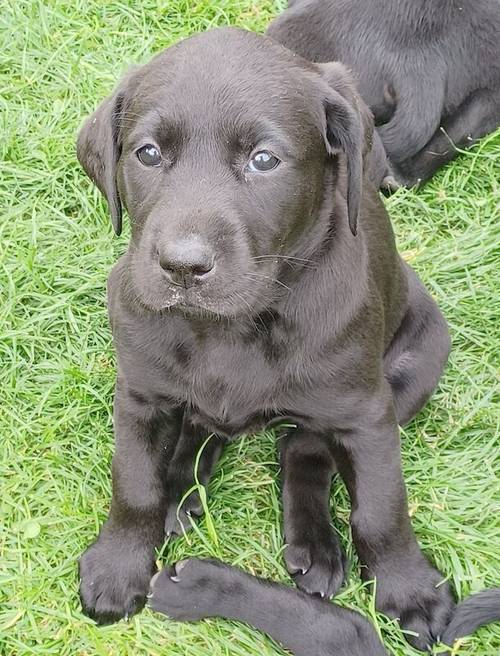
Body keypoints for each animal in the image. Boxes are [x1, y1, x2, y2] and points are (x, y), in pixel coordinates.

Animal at [77, 26, 484, 652]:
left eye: (264, 160)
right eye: (146, 153)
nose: (182, 266)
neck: (235, 325)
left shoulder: (367, 413)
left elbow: (383, 509)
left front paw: (410, 589)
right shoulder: (140, 394)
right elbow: (134, 482)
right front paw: (119, 564)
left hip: (419, 360)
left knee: (301, 446)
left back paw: (314, 546)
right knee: (204, 428)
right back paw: (181, 491)